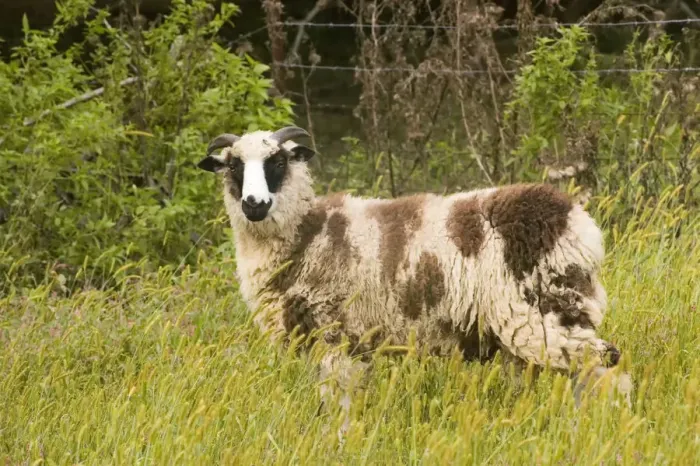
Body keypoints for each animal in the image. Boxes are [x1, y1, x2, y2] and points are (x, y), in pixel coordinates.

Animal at [197, 125, 632, 431]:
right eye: (234, 165)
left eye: (278, 163)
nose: (254, 204)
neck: (307, 232)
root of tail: (575, 222)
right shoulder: (352, 344)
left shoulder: (337, 335)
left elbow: (337, 403)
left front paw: (337, 439)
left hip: (547, 311)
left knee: (607, 366)